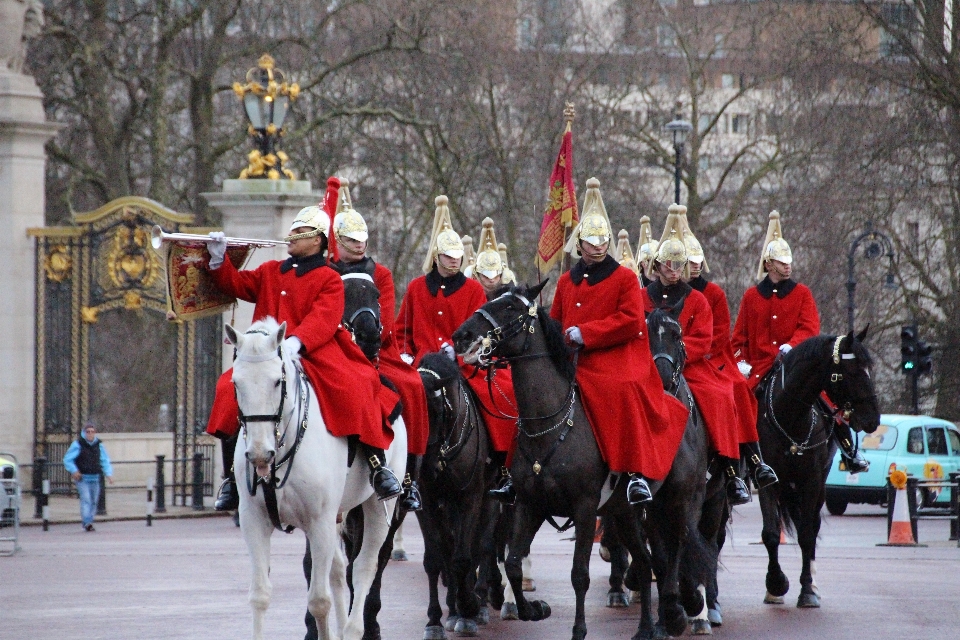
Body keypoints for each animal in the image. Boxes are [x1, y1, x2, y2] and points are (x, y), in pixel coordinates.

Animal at [231, 318, 406, 640]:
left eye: (277, 381)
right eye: (235, 383)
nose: (260, 454)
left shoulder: (319, 521)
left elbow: (319, 601)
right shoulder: (254, 520)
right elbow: (260, 594)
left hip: (377, 506)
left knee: (363, 567)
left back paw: (352, 629)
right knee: (337, 570)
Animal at [414, 352, 492, 636]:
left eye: (438, 413)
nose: (425, 470)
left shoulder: (470, 497)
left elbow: (463, 557)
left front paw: (468, 607)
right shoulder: (427, 502)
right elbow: (436, 558)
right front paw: (435, 619)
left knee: (481, 544)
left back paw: (477, 601)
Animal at [450, 282, 704, 640]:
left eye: (511, 307)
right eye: (492, 299)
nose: (462, 336)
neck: (548, 424)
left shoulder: (584, 508)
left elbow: (579, 574)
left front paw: (579, 629)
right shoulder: (530, 504)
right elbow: (513, 564)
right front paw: (534, 609)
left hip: (677, 500)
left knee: (678, 544)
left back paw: (675, 610)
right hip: (627, 511)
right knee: (645, 562)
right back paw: (646, 628)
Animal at [752, 332, 880, 608]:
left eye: (869, 369)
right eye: (851, 371)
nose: (873, 420)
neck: (790, 415)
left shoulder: (811, 480)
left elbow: (807, 534)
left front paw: (807, 590)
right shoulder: (767, 479)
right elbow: (770, 533)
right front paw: (775, 584)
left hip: (819, 485)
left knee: (811, 527)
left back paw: (812, 583)